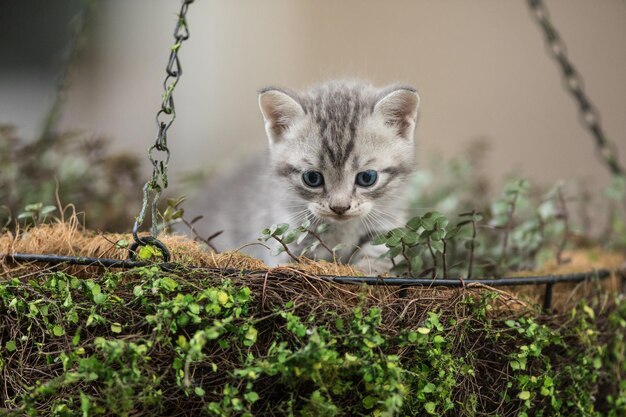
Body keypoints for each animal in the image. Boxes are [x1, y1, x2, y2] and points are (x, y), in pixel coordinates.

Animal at [204, 79, 420, 272]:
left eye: (367, 178)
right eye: (312, 178)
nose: (339, 208)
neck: (341, 230)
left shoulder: (386, 227)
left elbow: (378, 256)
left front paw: (367, 272)